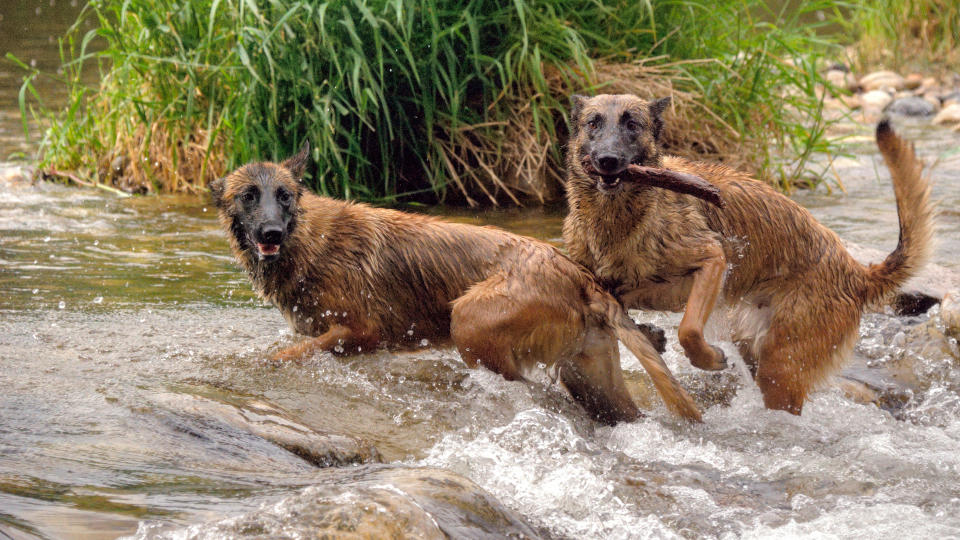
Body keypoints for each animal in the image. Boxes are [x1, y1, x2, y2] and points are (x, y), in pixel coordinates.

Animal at [210, 143, 704, 422]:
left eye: (284, 196)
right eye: (249, 196)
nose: (271, 233)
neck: (308, 240)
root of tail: (578, 275)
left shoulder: (361, 331)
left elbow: (282, 356)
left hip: (467, 321)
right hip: (595, 382)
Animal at [564, 94, 928, 414]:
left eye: (632, 124)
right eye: (593, 123)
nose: (607, 160)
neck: (618, 217)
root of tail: (857, 273)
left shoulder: (711, 260)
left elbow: (689, 330)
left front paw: (709, 359)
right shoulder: (620, 287)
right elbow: (630, 305)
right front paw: (652, 335)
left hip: (781, 368)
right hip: (753, 342)